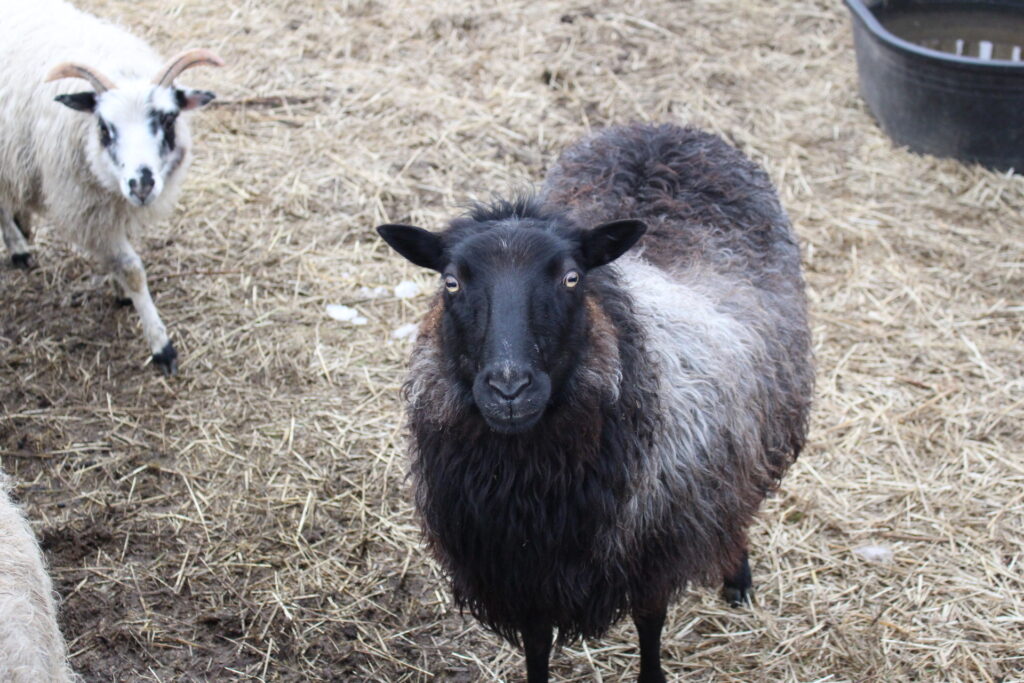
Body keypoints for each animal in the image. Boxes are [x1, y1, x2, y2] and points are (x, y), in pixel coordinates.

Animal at [0, 0, 224, 374]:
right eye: (105, 127)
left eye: (168, 120)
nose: (142, 183)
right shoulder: (85, 206)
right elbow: (132, 269)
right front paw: (161, 345)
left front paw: (119, 289)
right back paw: (17, 247)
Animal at [376, 122, 813, 682]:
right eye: (451, 281)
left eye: (572, 277)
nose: (510, 390)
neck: (528, 474)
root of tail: (663, 128)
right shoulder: (520, 571)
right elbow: (536, 646)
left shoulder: (653, 548)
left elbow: (650, 625)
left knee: (743, 503)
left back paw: (736, 574)